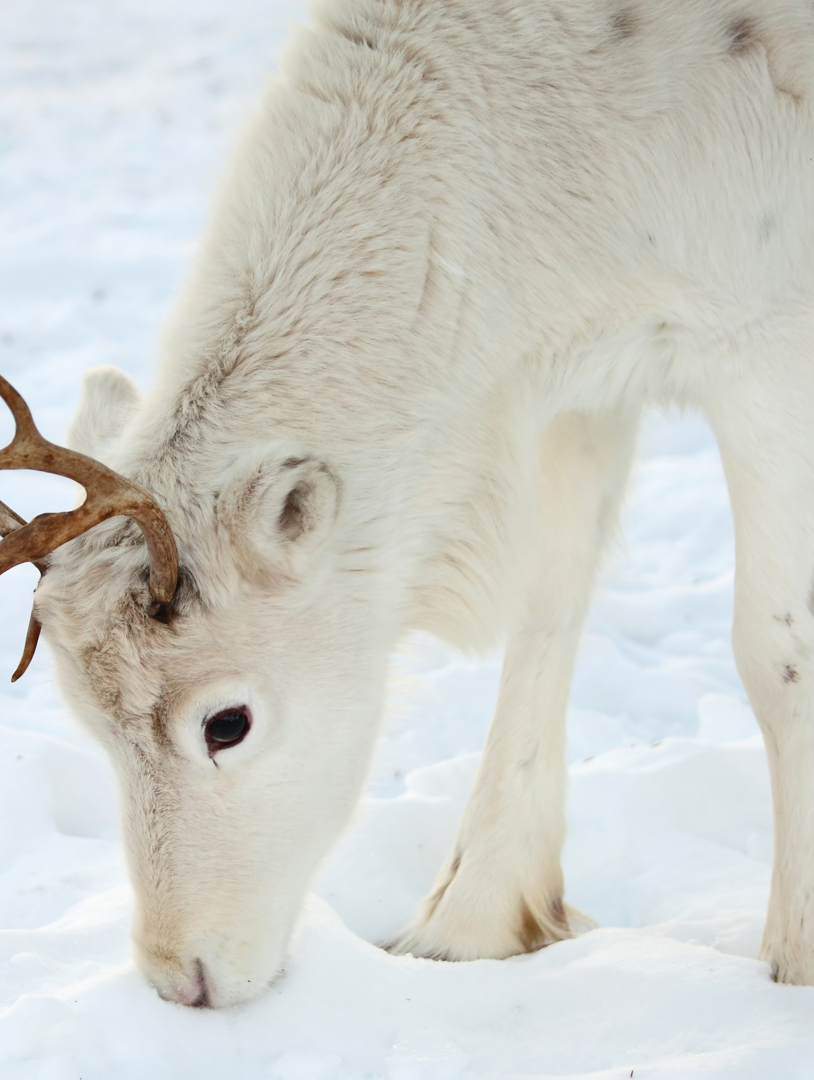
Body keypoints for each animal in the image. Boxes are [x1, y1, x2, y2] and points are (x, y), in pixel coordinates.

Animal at [2, 0, 814, 1008]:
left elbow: (773, 656)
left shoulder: (761, 340)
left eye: (228, 723)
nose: (179, 980)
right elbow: (544, 624)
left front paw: (796, 955)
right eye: (87, 725)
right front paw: (472, 927)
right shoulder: (582, 384)